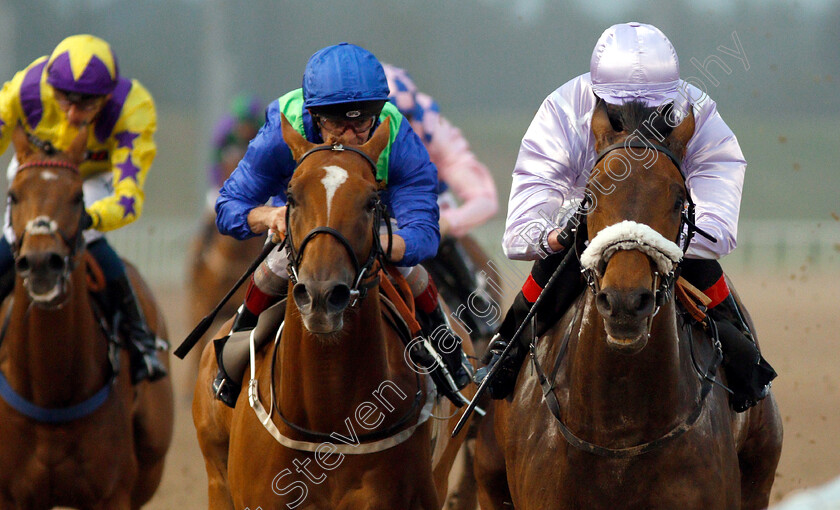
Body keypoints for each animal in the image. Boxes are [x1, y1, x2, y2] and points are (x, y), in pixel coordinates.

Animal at [0, 125, 173, 508]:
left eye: (78, 197)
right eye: (13, 196)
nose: (41, 263)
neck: (50, 394)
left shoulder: (114, 494)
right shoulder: (9, 496)